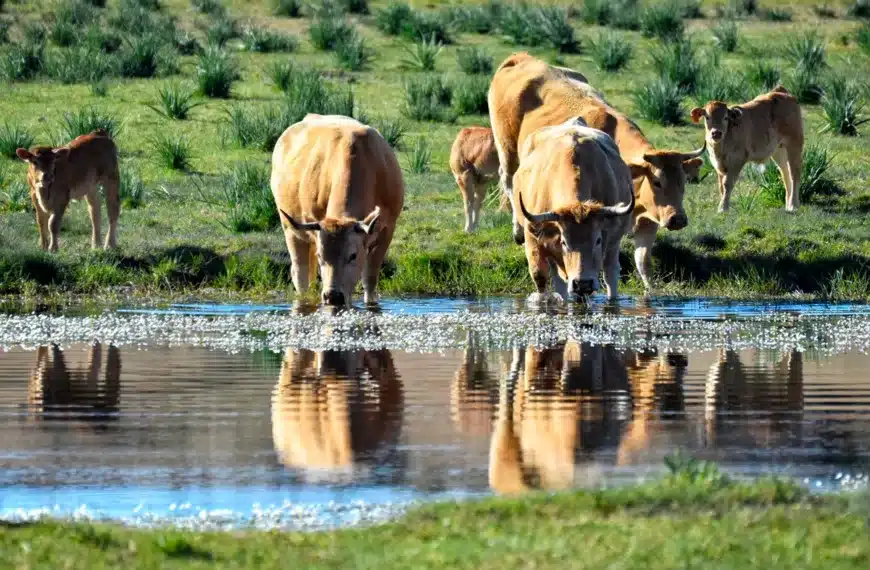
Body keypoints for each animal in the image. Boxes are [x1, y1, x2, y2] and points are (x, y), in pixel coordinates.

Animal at [271, 114, 405, 307]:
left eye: (353, 255)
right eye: (321, 256)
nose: (332, 296)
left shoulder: (388, 229)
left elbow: (370, 279)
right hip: (290, 230)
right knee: (301, 276)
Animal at [512, 117, 635, 304]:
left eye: (598, 240)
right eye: (564, 242)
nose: (582, 283)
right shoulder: (533, 237)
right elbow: (540, 277)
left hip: (614, 244)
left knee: (610, 273)